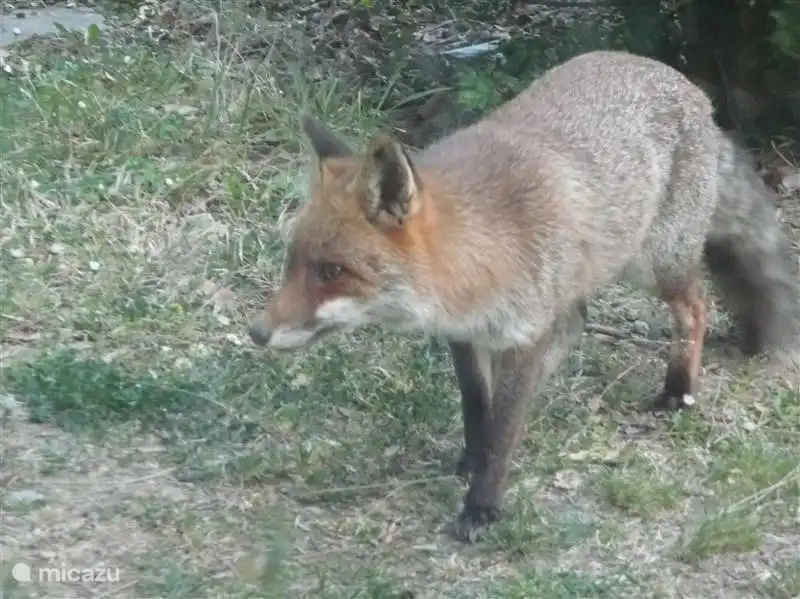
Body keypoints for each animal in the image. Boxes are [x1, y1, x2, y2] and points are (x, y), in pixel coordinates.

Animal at [247, 50, 800, 543]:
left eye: (332, 271)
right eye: (291, 261)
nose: (257, 333)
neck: (479, 256)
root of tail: (691, 90)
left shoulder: (524, 334)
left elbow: (504, 426)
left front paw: (482, 504)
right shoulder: (465, 334)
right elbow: (478, 406)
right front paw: (472, 457)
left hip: (654, 263)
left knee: (695, 308)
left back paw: (678, 389)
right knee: (578, 320)